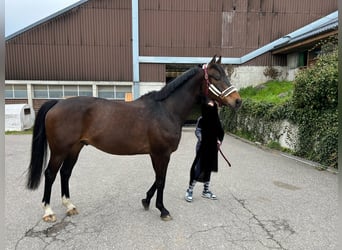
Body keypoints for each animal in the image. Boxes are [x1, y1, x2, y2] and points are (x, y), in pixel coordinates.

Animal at [26, 55, 242, 222]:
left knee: (65, 173)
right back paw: (48, 211)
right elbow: (161, 180)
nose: (238, 101)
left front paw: (146, 201)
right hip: (60, 150)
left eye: (226, 75)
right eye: (215, 77)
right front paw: (162, 209)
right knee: (50, 174)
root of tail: (57, 103)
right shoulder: (161, 154)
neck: (166, 110)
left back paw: (69, 205)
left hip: (75, 148)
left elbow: (158, 179)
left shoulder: (158, 154)